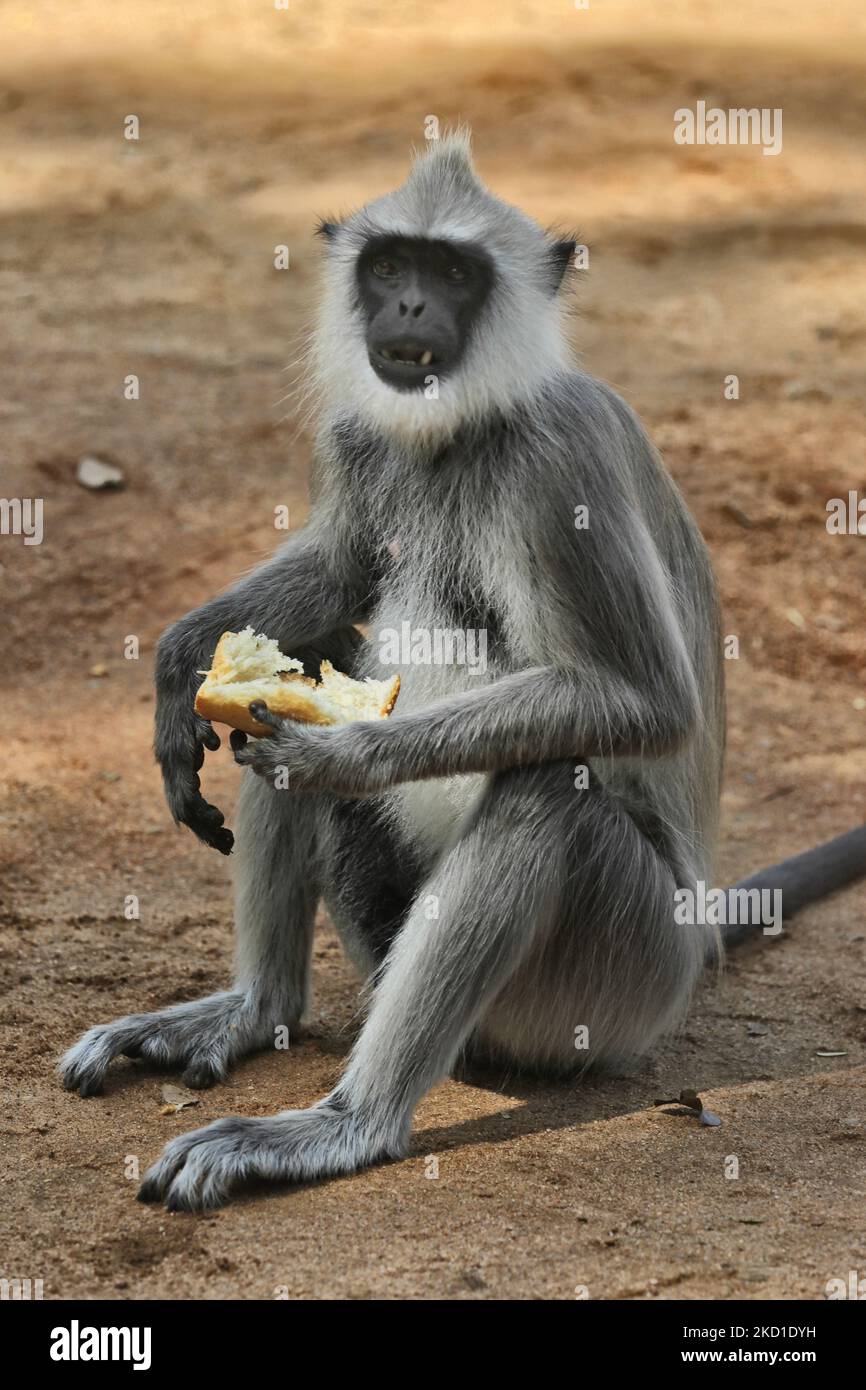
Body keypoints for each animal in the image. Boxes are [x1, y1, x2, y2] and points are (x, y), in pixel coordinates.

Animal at [61, 135, 866, 1212]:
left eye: (450, 274)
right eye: (391, 267)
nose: (406, 308)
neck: (458, 428)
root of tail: (696, 935)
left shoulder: (560, 451)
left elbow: (645, 702)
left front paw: (346, 753)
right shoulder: (358, 434)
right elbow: (335, 574)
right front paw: (181, 661)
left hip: (623, 977)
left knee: (548, 788)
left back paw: (349, 1123)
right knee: (301, 681)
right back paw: (256, 1009)